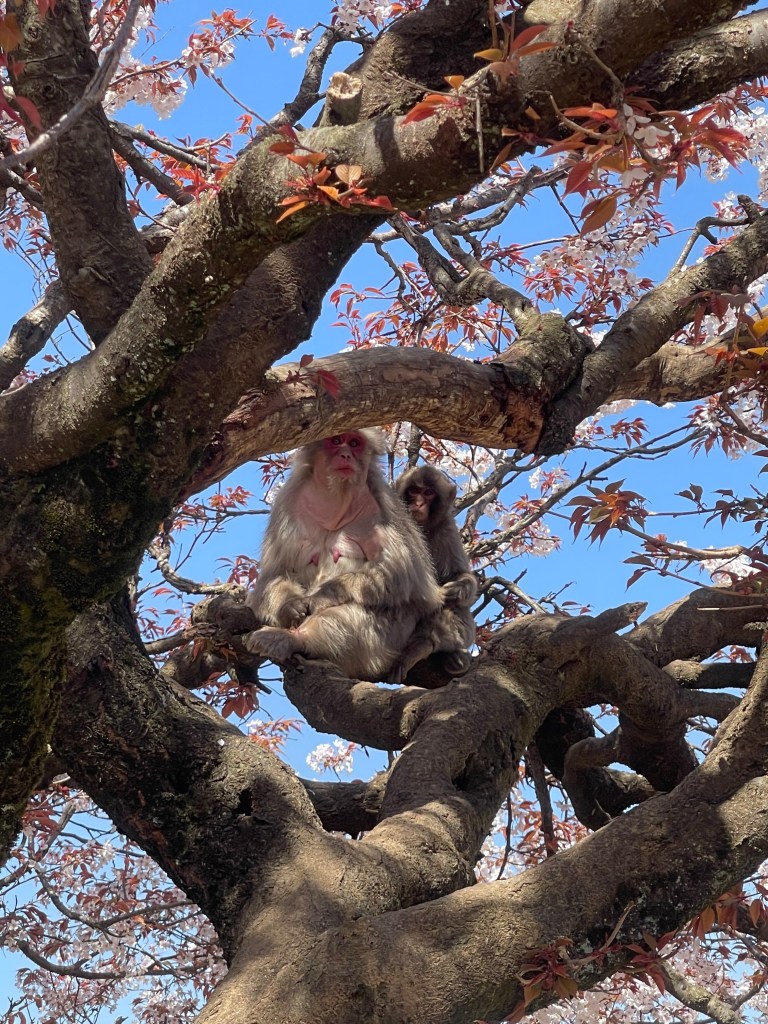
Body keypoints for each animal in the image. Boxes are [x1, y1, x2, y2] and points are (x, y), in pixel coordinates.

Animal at [244, 429, 444, 681]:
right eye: (337, 440)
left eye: (355, 443)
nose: (346, 454)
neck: (336, 500)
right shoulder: (287, 503)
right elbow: (274, 574)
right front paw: (289, 606)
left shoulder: (382, 506)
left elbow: (401, 574)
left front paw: (323, 595)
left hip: (388, 639)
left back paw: (293, 639)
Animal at [390, 465, 477, 681]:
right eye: (414, 491)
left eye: (428, 493)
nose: (419, 503)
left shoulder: (447, 528)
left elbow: (459, 575)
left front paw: (459, 588)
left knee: (456, 608)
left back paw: (426, 646)